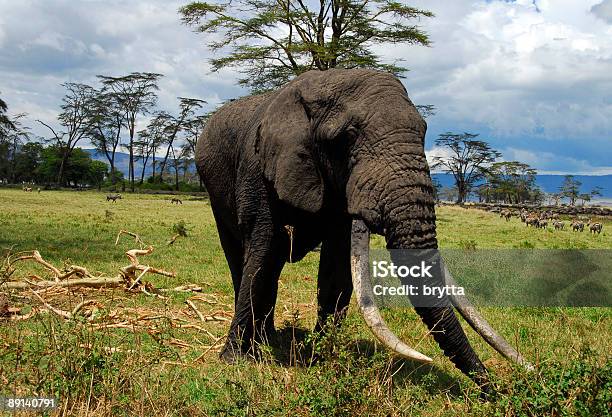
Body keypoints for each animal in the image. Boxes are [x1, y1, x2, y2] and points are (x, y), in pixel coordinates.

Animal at [197, 67, 532, 386]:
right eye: (346, 137)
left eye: (424, 131)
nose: (496, 387)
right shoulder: (260, 172)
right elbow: (260, 257)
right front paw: (235, 361)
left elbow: (337, 268)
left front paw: (322, 357)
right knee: (244, 261)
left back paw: (271, 340)